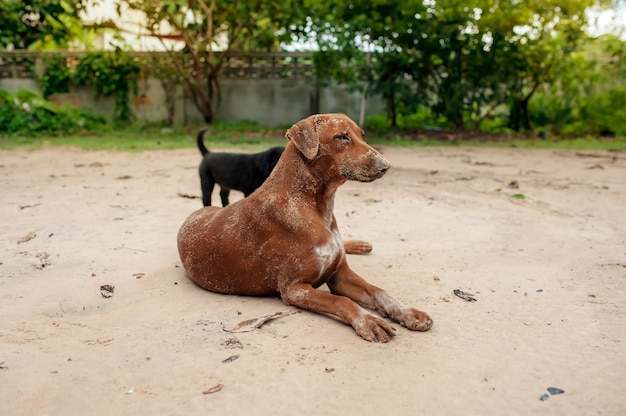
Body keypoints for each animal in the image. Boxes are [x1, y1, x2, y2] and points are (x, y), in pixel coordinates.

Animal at [174, 114, 428, 342]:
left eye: (361, 135)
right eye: (342, 136)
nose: (386, 166)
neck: (316, 207)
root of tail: (195, 212)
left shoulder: (340, 275)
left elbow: (379, 291)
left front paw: (408, 312)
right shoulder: (295, 289)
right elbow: (342, 301)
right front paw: (369, 320)